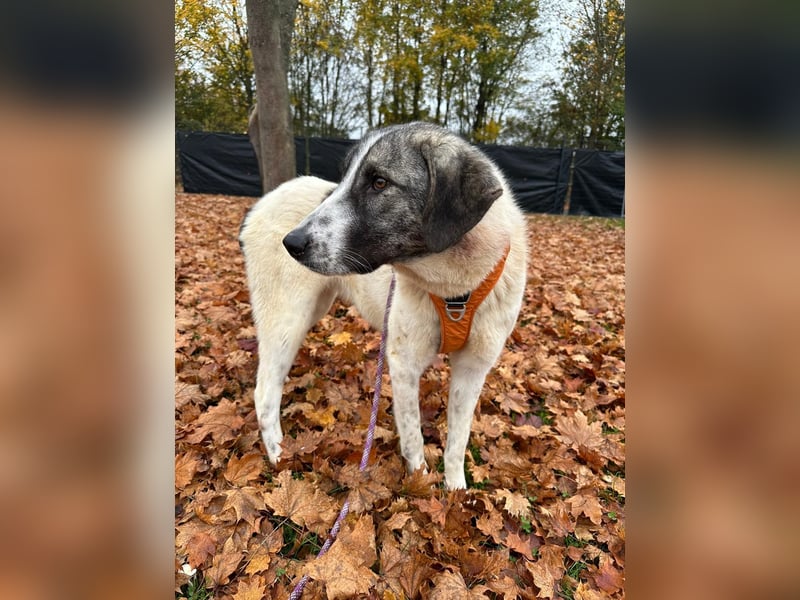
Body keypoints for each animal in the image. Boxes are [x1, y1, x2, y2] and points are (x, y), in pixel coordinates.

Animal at [239, 120, 524, 488]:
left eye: (379, 182)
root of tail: (262, 203)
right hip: (288, 319)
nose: (292, 243)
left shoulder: (473, 368)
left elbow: (457, 442)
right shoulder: (404, 364)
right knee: (264, 392)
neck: (455, 290)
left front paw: (455, 491)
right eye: (345, 178)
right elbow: (414, 440)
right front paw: (421, 488)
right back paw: (278, 456)